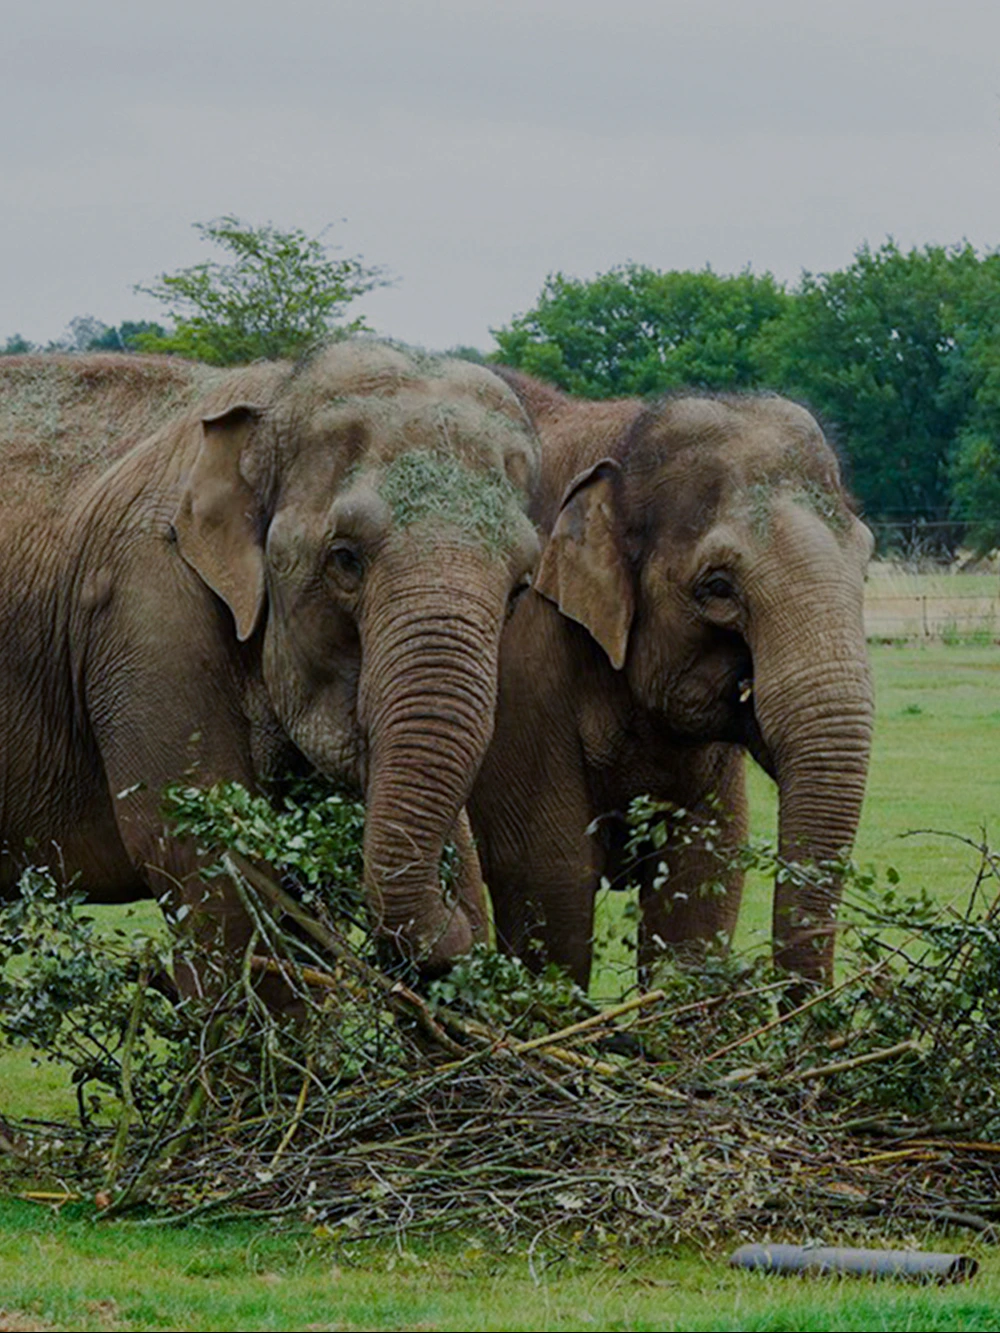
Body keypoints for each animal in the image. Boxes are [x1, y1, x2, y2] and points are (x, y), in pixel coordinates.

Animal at [0, 343, 540, 993]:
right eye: (345, 559)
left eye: (520, 587)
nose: (459, 929)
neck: (275, 391)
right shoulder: (145, 609)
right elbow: (200, 853)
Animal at [468, 371, 874, 991]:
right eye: (717, 587)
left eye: (867, 564)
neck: (620, 433)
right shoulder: (518, 665)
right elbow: (547, 877)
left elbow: (702, 879)